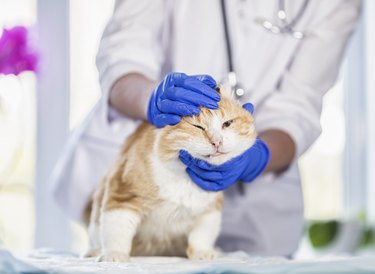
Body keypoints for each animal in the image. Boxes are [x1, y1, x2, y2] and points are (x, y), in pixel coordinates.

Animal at [85, 85, 258, 264]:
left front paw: (203, 253)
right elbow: (117, 231)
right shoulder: (122, 195)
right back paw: (94, 252)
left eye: (227, 123)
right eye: (198, 127)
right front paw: (115, 255)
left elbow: (202, 236)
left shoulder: (210, 210)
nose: (217, 141)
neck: (186, 180)